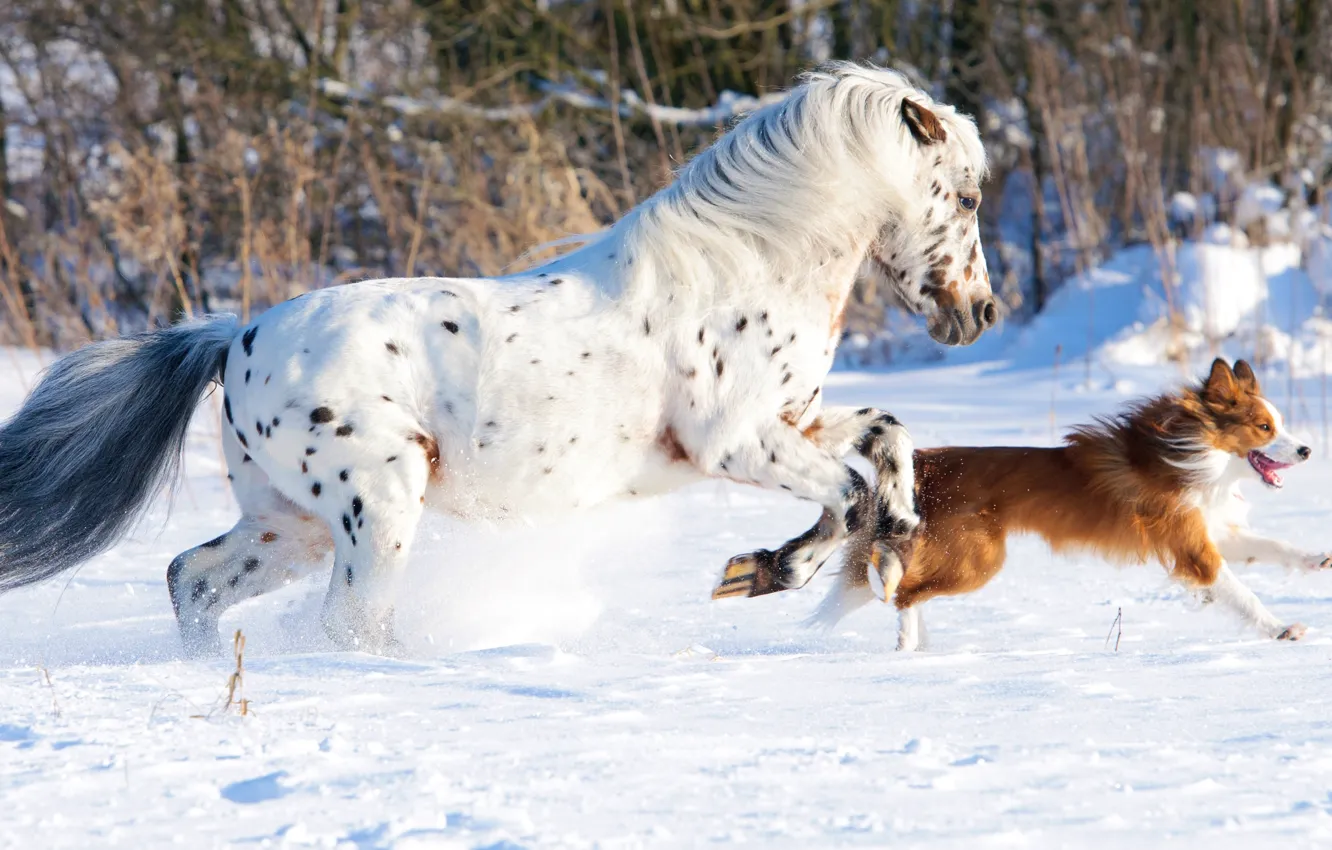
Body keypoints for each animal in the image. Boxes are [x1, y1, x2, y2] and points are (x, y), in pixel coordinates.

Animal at [815, 362, 1326, 652]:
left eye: (1278, 424)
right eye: (1264, 427)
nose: (1307, 451)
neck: (1194, 455)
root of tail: (921, 463)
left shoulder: (1207, 532)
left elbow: (1273, 545)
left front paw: (1317, 558)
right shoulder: (1193, 549)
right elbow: (1243, 593)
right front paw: (1281, 630)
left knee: (911, 589)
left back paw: (921, 645)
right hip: (977, 560)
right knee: (903, 593)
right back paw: (906, 648)